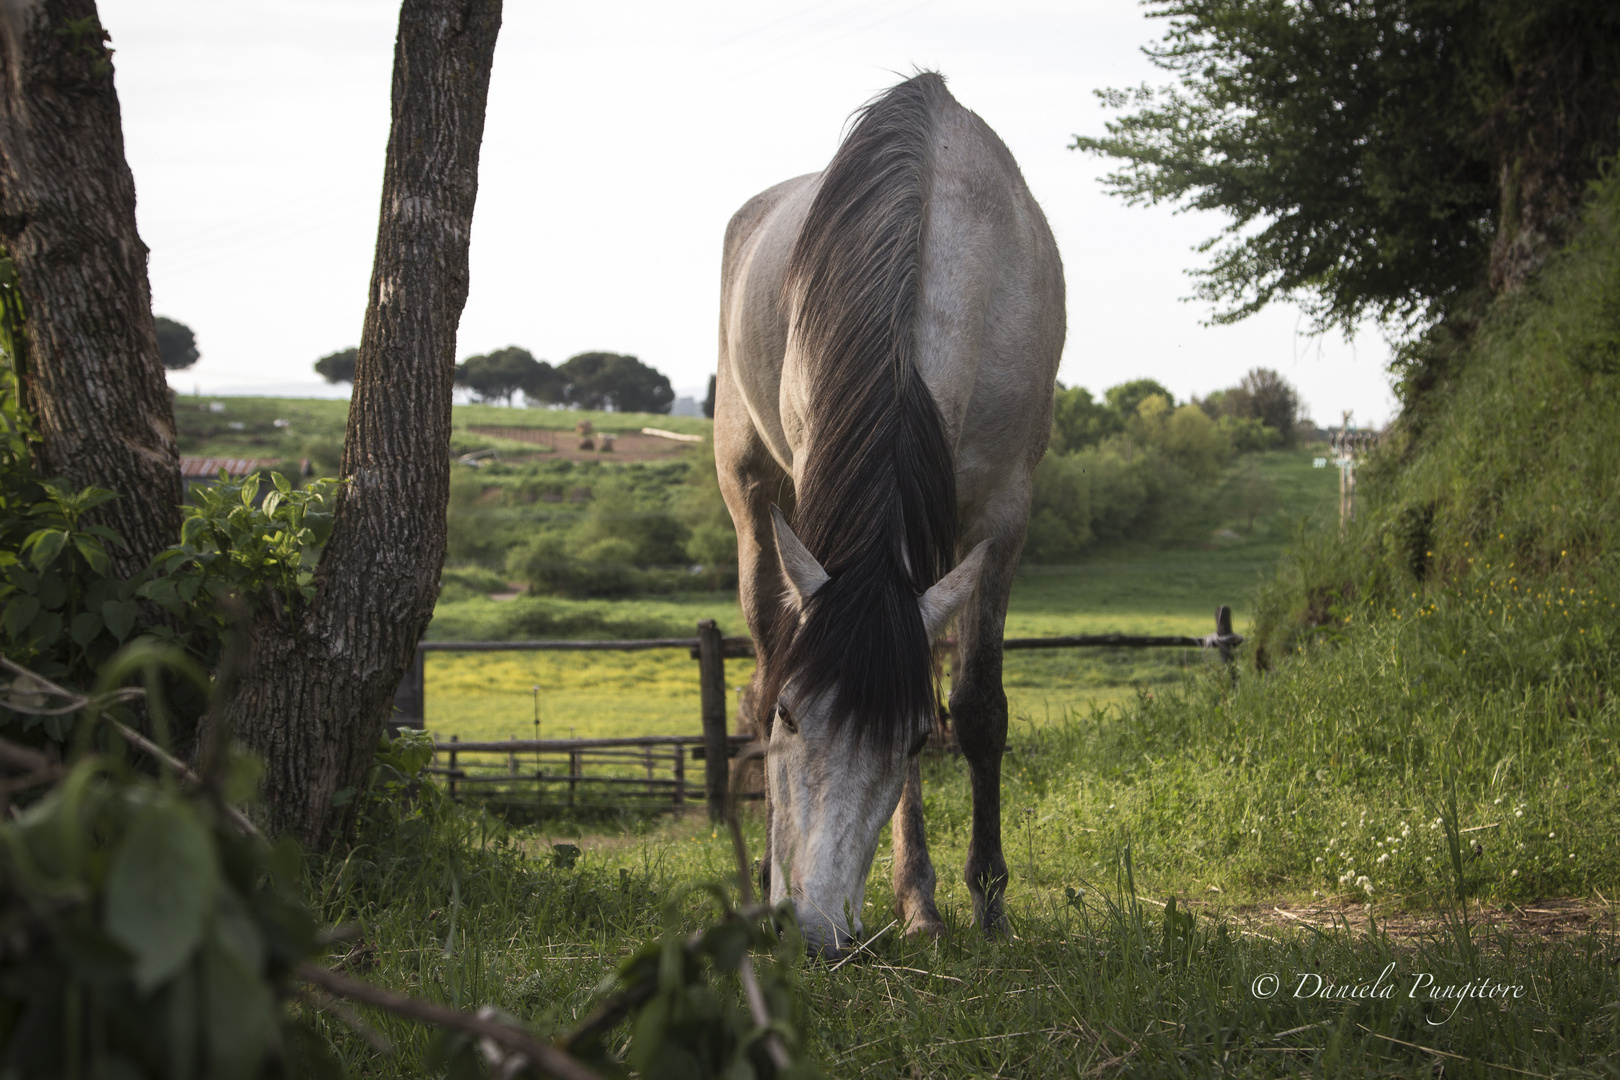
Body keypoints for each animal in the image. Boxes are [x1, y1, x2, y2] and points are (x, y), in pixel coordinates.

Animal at [716, 71, 1069, 958]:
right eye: (791, 716)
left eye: (907, 735)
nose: (813, 932)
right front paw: (922, 902)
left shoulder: (1003, 515)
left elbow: (975, 708)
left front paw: (987, 905)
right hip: (752, 499)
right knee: (764, 645)